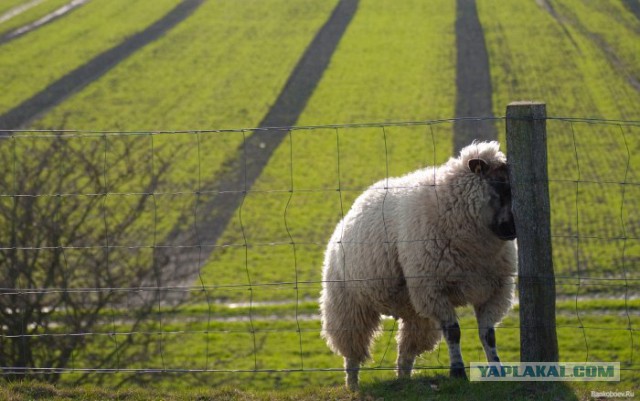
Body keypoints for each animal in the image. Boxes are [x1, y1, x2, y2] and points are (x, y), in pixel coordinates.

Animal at [318, 140, 516, 388]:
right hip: (348, 305)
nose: (513, 230)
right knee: (352, 351)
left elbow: (488, 334)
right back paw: (353, 385)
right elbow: (454, 332)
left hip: (414, 310)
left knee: (406, 351)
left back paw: (403, 379)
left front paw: (497, 369)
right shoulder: (435, 290)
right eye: (499, 186)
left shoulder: (495, 291)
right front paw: (457, 372)